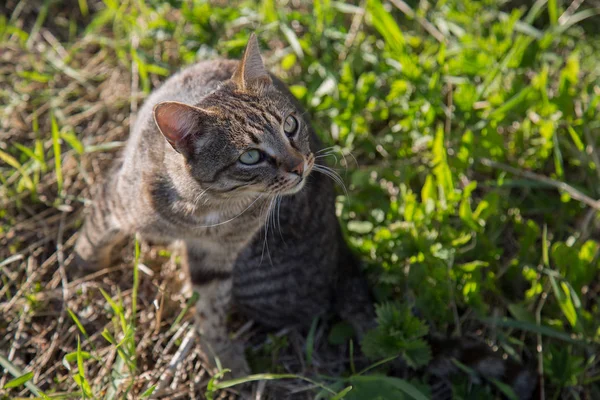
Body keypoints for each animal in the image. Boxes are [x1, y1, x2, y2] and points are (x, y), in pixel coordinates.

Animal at [74, 33, 372, 376]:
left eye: (290, 125)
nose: (300, 166)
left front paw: (219, 356)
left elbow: (211, 308)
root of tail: (342, 259)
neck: (204, 208)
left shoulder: (217, 257)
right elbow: (94, 236)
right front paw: (80, 271)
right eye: (251, 156)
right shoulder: (116, 198)